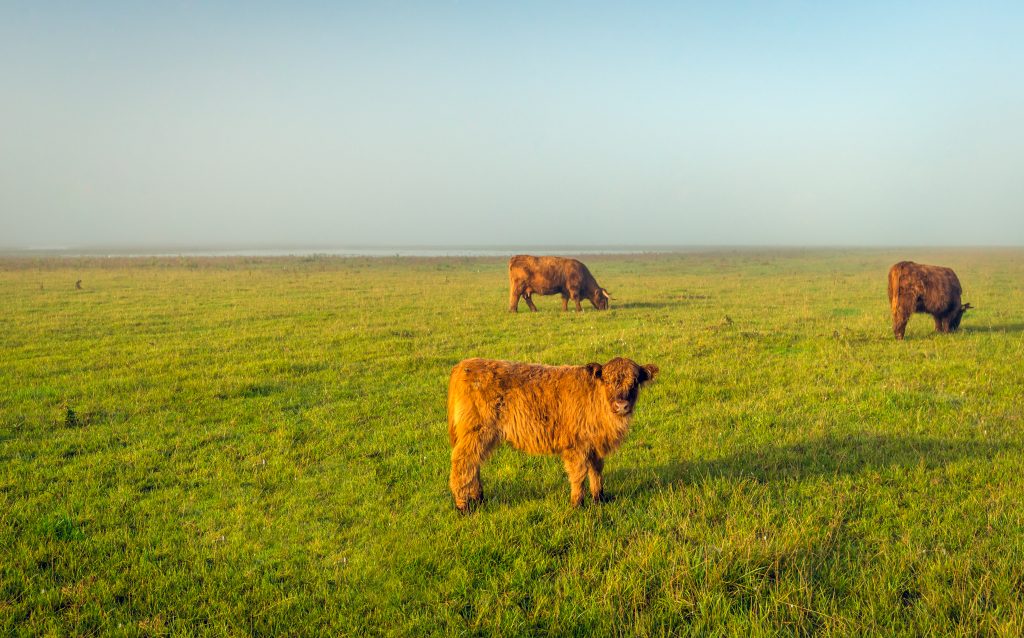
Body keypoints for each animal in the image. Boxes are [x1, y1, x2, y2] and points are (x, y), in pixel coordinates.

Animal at [446, 356, 655, 512]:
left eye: (634, 382)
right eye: (608, 381)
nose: (622, 405)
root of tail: (464, 365)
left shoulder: (594, 447)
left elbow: (596, 471)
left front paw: (599, 499)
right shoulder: (576, 446)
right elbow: (578, 474)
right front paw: (577, 504)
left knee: (474, 464)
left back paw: (478, 498)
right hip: (476, 432)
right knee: (463, 462)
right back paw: (463, 505)